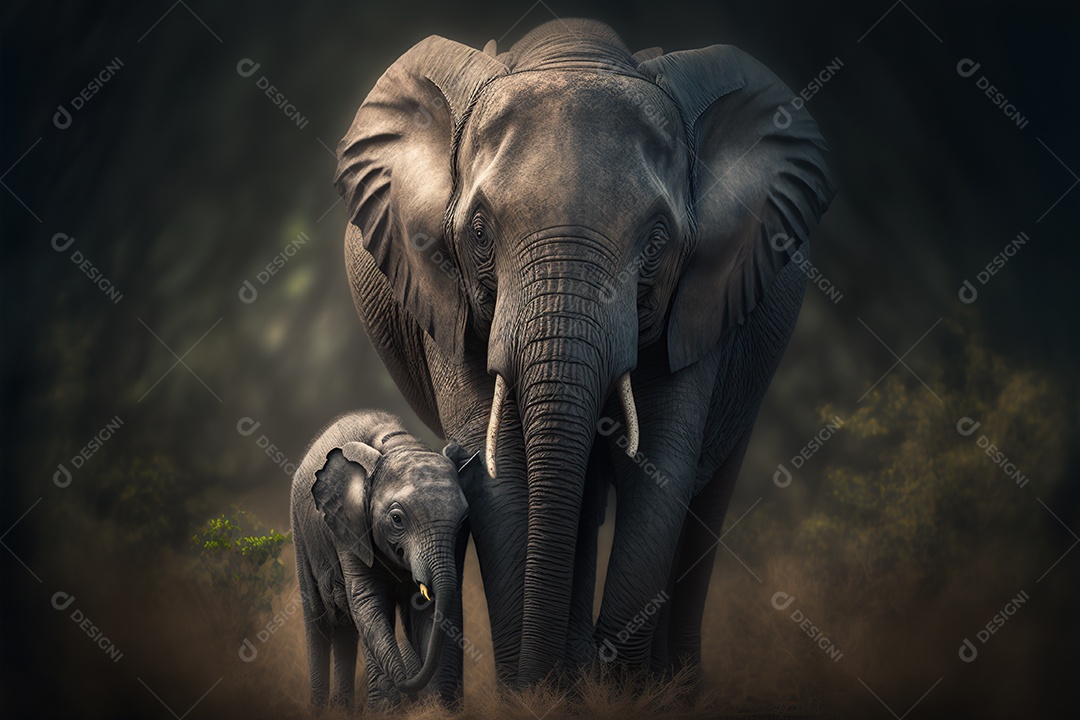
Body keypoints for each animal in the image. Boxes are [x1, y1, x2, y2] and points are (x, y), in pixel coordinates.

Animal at [290, 410, 470, 709]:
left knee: (345, 628)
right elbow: (367, 601)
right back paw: (320, 709)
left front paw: (435, 707)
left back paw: (344, 710)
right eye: (396, 519)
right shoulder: (348, 527)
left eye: (464, 520)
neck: (397, 445)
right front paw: (386, 710)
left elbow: (425, 610)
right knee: (318, 621)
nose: (411, 692)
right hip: (301, 535)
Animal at [333, 18, 834, 686]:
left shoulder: (700, 296)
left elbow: (662, 466)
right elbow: (502, 472)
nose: (549, 679)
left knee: (705, 495)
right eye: (480, 233)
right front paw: (538, 693)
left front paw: (619, 692)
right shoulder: (443, 289)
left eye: (657, 241)